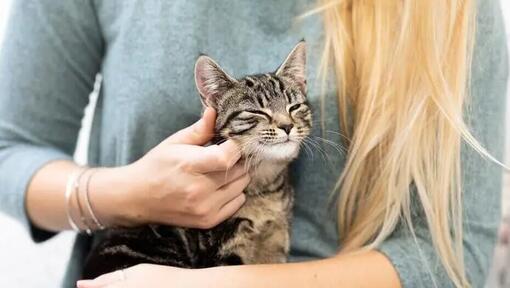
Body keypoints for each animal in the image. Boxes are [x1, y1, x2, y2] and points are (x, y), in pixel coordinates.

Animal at [83, 41, 310, 280]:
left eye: (294, 107)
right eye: (255, 111)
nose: (287, 125)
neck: (263, 188)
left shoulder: (276, 240)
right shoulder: (224, 252)